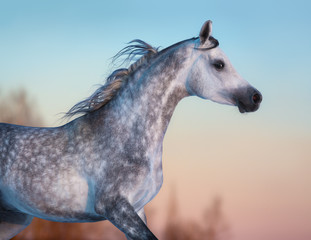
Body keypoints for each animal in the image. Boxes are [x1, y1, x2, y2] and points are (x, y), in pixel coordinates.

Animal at [0, 21, 264, 240]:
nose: (255, 97)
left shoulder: (137, 208)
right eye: (219, 64)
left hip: (13, 220)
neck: (123, 135)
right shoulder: (115, 208)